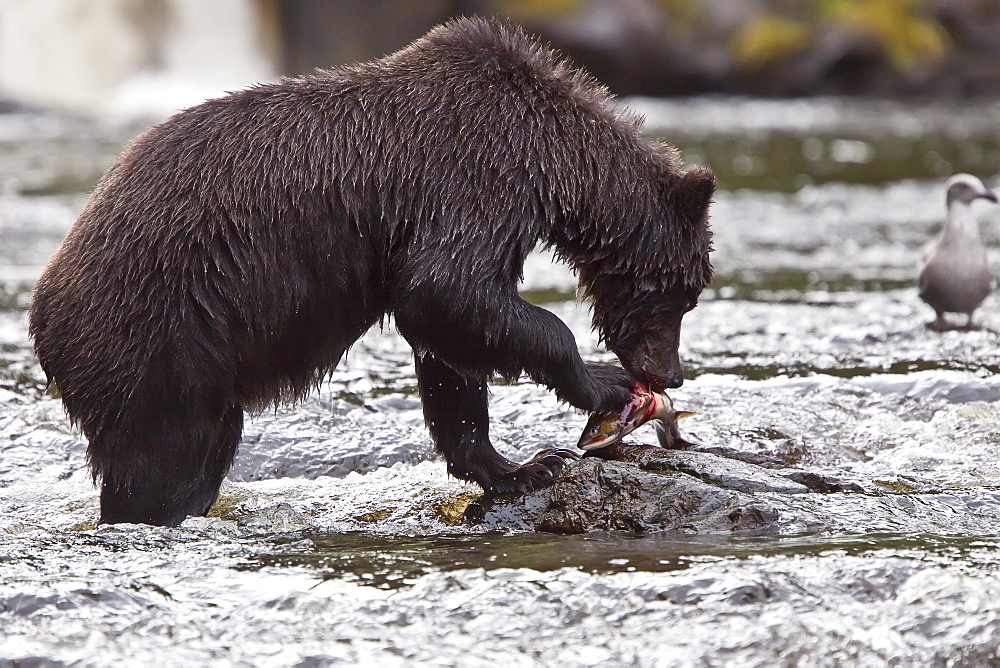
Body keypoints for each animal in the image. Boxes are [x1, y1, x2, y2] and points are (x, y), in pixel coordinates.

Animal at [27, 17, 716, 528]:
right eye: (681, 295)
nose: (670, 373)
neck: (550, 160)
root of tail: (42, 312)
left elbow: (451, 355)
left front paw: (519, 467)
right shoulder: (473, 182)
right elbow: (448, 292)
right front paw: (602, 387)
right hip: (159, 338)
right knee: (164, 459)